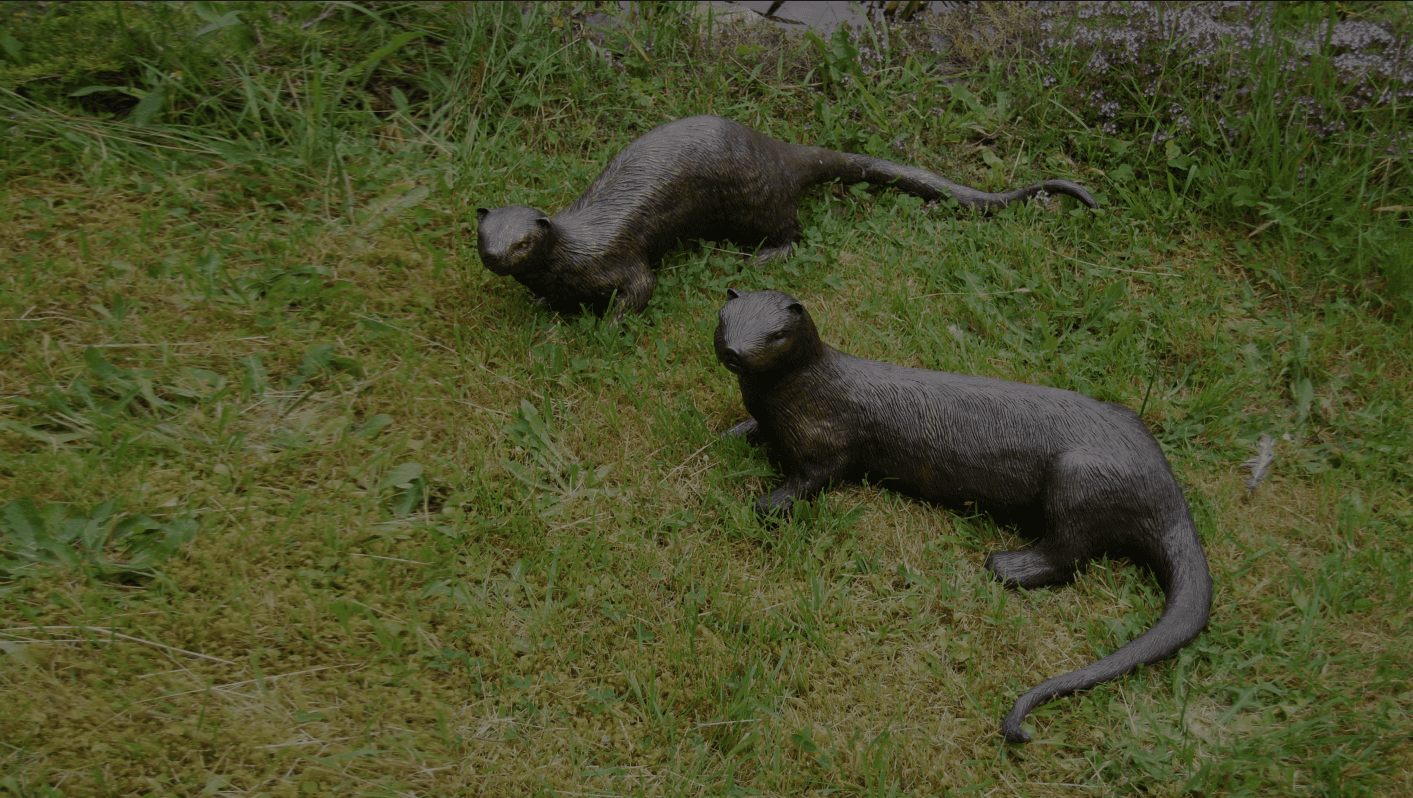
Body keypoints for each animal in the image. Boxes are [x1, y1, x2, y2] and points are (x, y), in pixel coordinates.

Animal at [477, 115, 1097, 317]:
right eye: (483, 235)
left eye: (521, 242)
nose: (495, 256)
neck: (577, 247)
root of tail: (779, 150)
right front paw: (543, 306)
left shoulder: (623, 261)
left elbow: (639, 289)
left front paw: (606, 324)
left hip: (758, 202)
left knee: (793, 229)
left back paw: (767, 255)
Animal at [713, 288, 1211, 743]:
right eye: (722, 318)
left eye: (776, 334)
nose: (734, 351)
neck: (799, 397)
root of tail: (1167, 489)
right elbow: (754, 431)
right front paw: (732, 433)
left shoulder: (826, 441)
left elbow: (813, 478)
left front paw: (768, 503)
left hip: (1078, 479)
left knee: (1068, 553)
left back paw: (1008, 567)